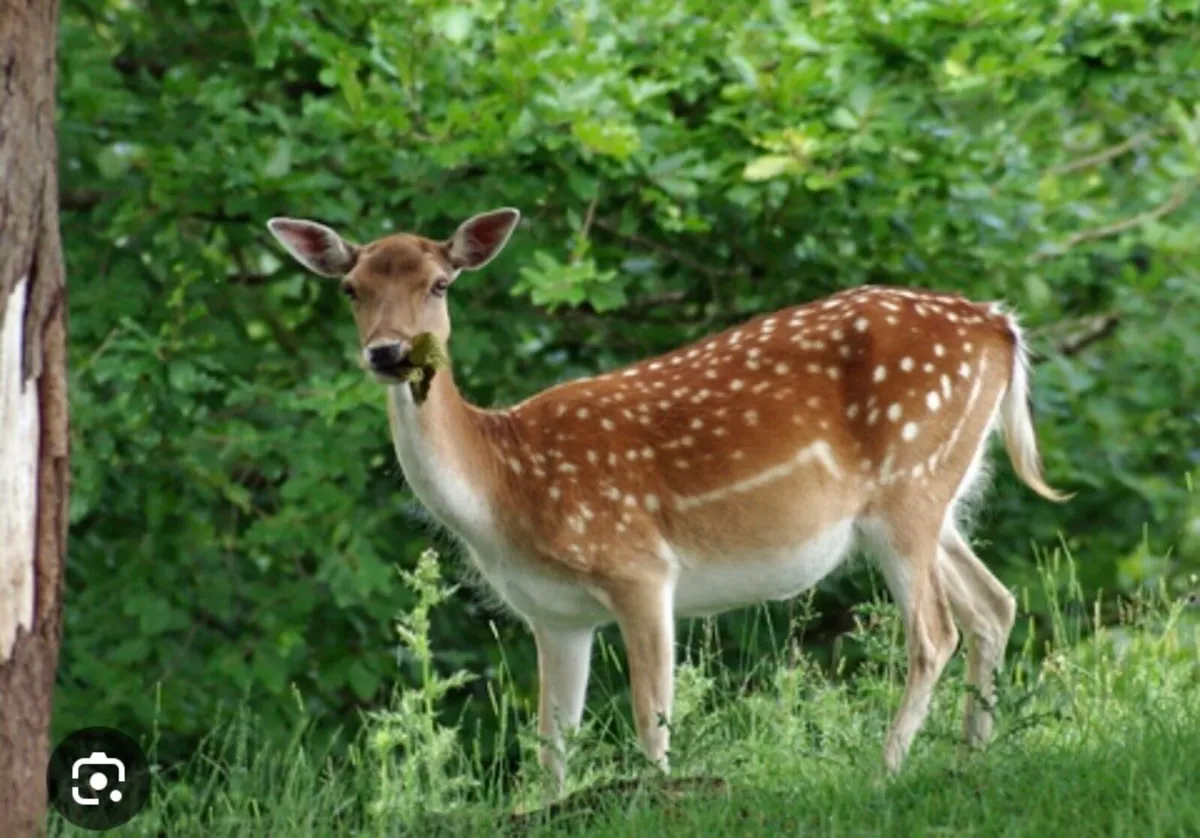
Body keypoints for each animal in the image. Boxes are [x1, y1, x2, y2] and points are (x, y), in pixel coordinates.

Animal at [266, 207, 1067, 792]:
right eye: (351, 288)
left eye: (439, 283)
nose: (388, 352)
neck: (504, 490)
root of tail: (1001, 326)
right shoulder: (554, 615)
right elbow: (553, 741)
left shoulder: (639, 567)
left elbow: (651, 717)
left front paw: (659, 797)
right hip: (932, 495)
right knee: (993, 604)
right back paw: (971, 758)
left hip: (909, 483)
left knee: (934, 631)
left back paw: (885, 773)